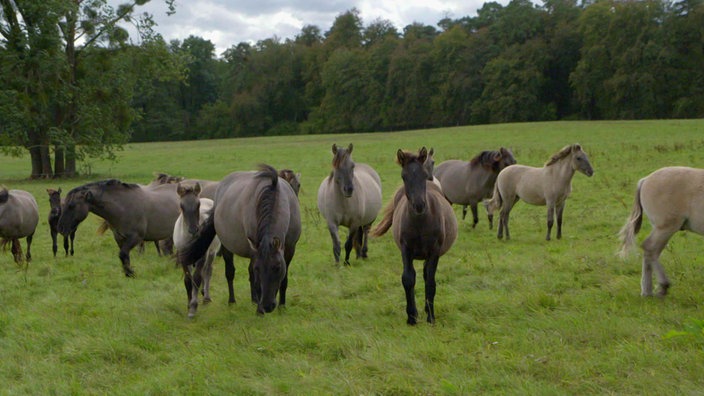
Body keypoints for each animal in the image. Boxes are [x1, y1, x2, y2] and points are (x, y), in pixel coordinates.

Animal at [177, 166, 302, 318]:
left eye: (277, 268)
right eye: (259, 269)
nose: (267, 306)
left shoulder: (289, 249)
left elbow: (283, 280)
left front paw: (282, 306)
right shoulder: (255, 253)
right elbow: (255, 280)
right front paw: (259, 310)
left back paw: (254, 300)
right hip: (227, 247)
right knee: (230, 273)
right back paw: (233, 301)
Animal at [372, 148, 460, 324]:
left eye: (423, 174)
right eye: (403, 176)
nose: (419, 205)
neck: (420, 222)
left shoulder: (434, 251)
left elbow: (431, 282)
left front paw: (431, 317)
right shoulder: (406, 249)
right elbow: (408, 279)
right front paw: (412, 316)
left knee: (426, 275)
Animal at [620, 166, 704, 296]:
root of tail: (645, 180)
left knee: (651, 252)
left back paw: (647, 292)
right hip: (665, 228)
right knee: (650, 248)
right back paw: (662, 286)